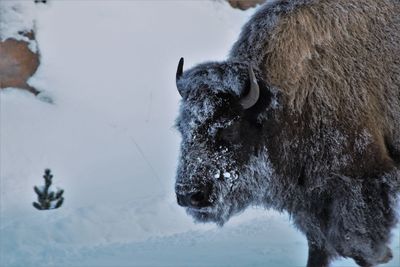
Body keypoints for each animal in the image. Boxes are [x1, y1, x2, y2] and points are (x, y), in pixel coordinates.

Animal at [173, 0, 398, 267]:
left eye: (229, 129)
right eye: (182, 127)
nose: (188, 195)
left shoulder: (361, 177)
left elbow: (354, 243)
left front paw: (382, 255)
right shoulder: (308, 198)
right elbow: (319, 246)